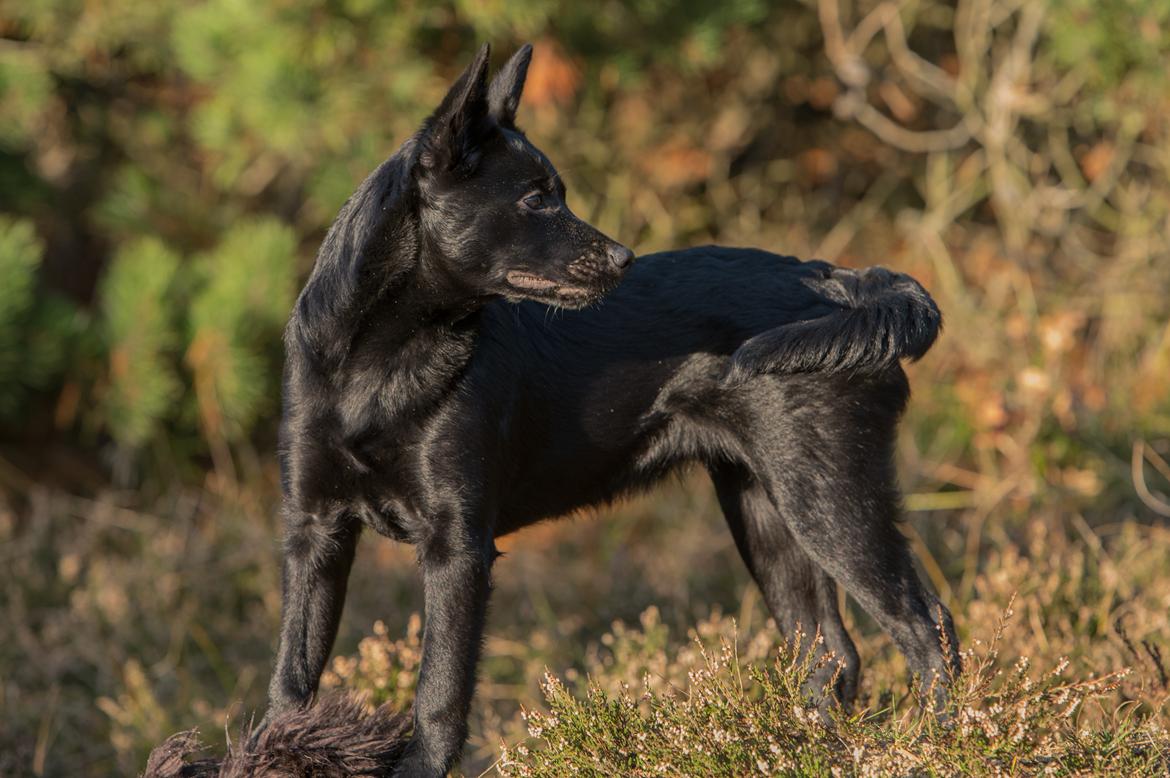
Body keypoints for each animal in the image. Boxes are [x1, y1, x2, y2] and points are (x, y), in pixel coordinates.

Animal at [263, 43, 959, 776]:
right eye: (536, 198)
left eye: (559, 193)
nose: (625, 258)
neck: (376, 365)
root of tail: (848, 284)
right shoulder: (314, 531)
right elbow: (292, 679)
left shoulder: (457, 545)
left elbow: (439, 697)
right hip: (768, 512)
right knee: (830, 654)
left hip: (830, 498)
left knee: (927, 628)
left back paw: (935, 747)